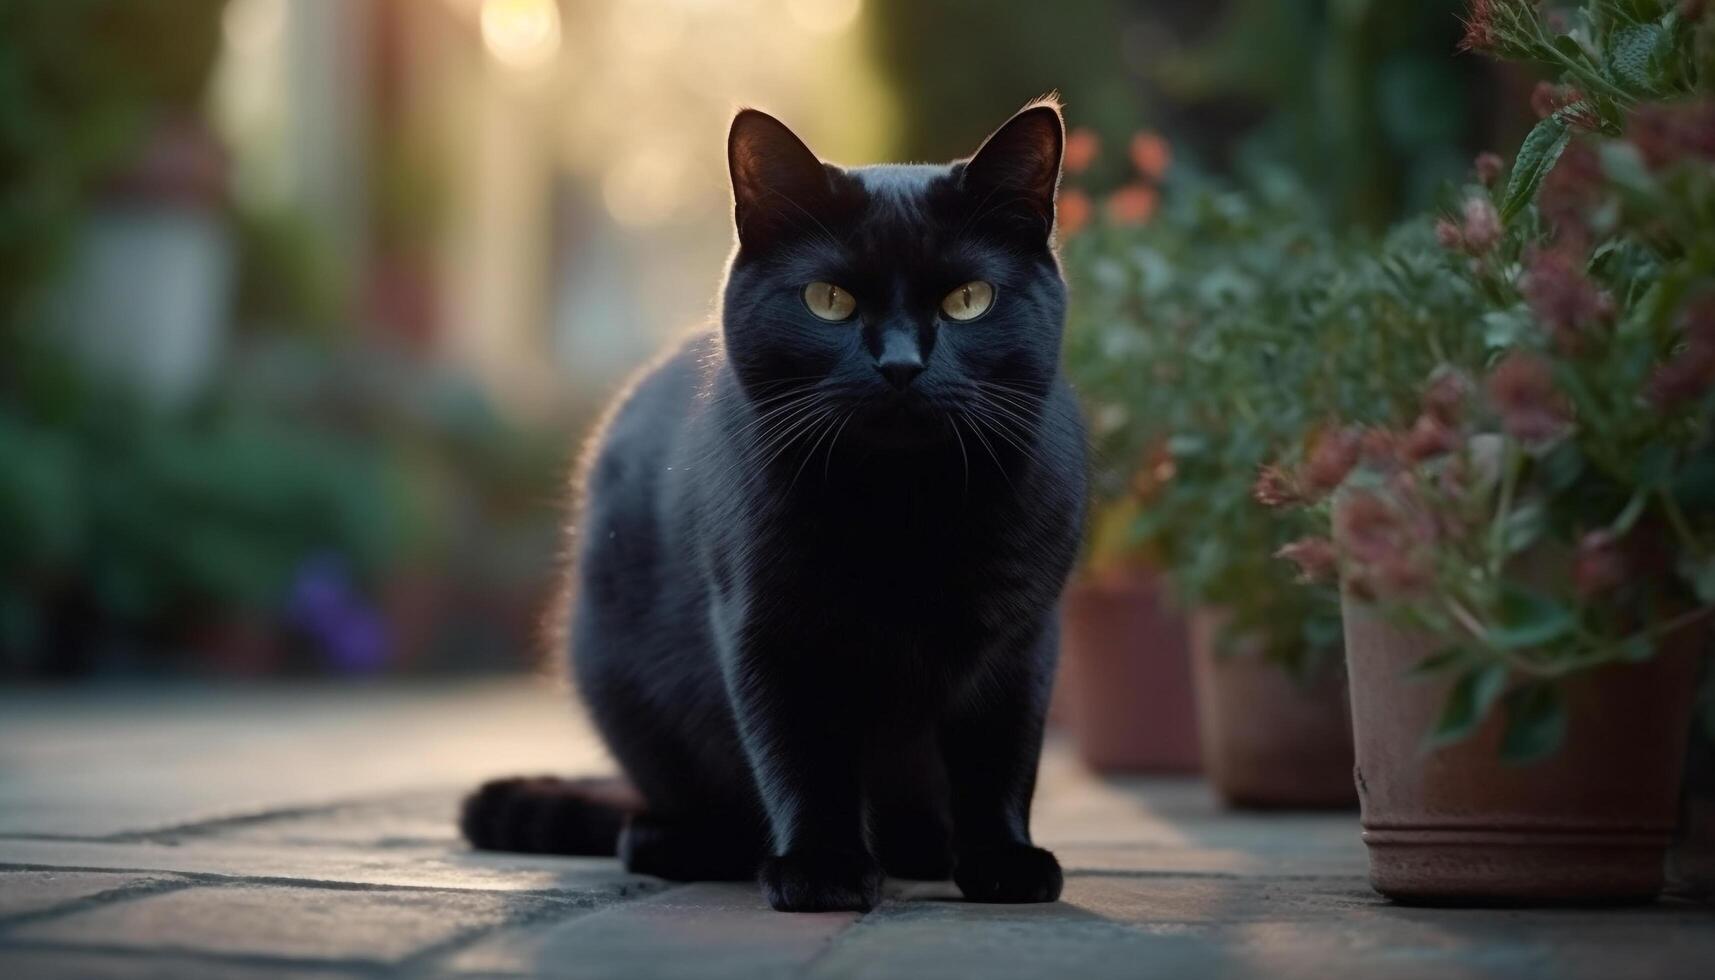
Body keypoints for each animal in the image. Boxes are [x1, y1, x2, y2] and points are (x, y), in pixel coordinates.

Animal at [463, 99, 1083, 913]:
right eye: (828, 301)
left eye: (968, 300)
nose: (900, 364)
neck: (902, 513)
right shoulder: (768, 628)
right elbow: (803, 756)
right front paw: (821, 868)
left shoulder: (1022, 637)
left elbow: (1002, 759)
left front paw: (1003, 861)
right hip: (620, 683)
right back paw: (681, 841)